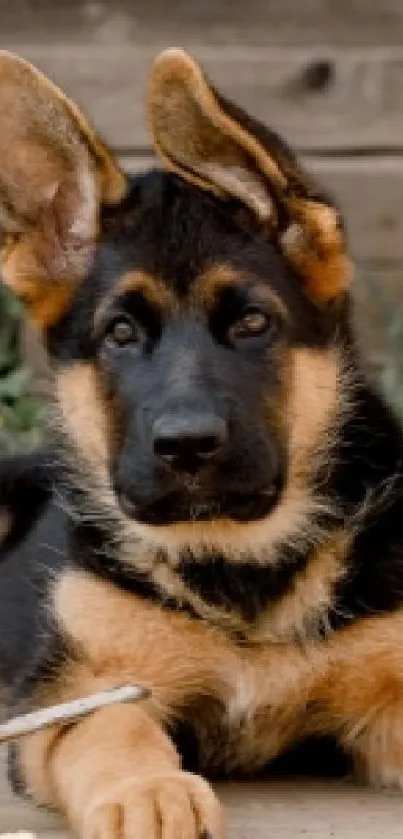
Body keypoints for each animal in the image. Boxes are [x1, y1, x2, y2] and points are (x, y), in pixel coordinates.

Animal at [0, 49, 403, 839]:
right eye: (120, 334)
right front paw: (147, 790)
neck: (235, 564)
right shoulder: (78, 687)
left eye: (251, 323)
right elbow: (111, 729)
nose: (186, 446)